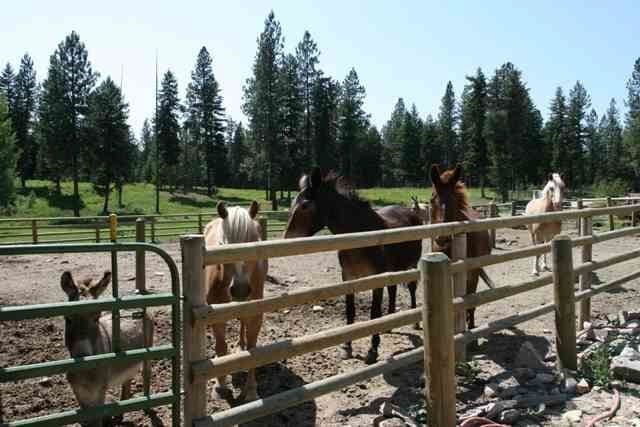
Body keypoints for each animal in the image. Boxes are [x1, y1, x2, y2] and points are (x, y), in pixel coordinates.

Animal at [204, 201, 266, 402]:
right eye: (222, 245)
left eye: (253, 241)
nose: (240, 290)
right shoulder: (216, 317)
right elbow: (221, 347)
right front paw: (220, 386)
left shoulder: (255, 314)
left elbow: (253, 350)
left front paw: (252, 391)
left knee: (243, 327)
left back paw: (240, 346)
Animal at [430, 164, 496, 332]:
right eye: (432, 199)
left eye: (453, 200)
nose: (441, 238)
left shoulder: (473, 273)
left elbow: (470, 300)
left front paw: (470, 327)